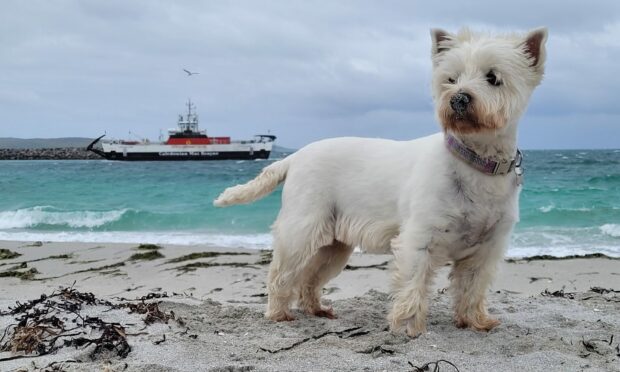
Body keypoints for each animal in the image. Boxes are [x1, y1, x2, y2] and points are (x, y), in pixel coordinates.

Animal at [214, 27, 548, 338]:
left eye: (493, 77)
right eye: (450, 79)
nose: (459, 99)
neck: (476, 161)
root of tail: (295, 156)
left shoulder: (486, 247)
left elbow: (473, 287)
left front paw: (475, 321)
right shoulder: (419, 238)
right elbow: (413, 285)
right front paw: (410, 326)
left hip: (335, 245)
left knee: (310, 276)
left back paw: (317, 309)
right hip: (302, 227)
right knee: (282, 273)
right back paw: (278, 313)